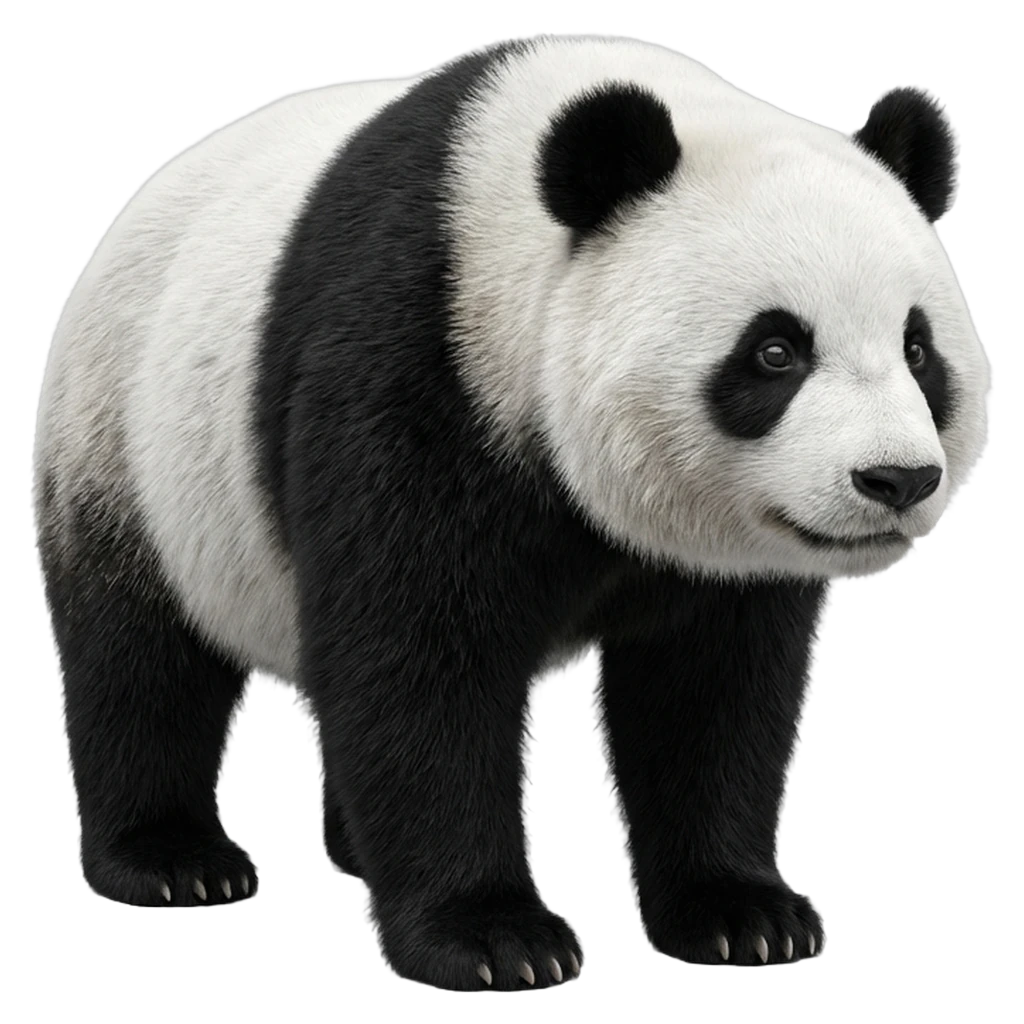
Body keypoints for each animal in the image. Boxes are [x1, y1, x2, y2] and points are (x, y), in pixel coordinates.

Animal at [36, 33, 990, 988]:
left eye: (918, 349)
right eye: (775, 351)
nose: (897, 478)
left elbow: (712, 687)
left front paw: (744, 915)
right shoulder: (415, 358)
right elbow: (416, 655)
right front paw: (492, 939)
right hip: (128, 438)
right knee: (140, 656)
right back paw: (173, 861)